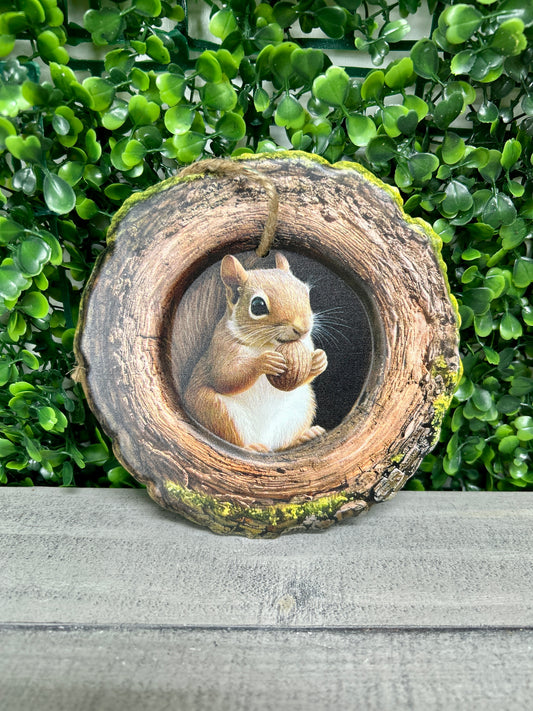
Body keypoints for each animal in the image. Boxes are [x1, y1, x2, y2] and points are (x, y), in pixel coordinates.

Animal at [183, 253, 328, 452]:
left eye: (305, 292)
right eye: (258, 305)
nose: (303, 329)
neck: (267, 344)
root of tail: (264, 440)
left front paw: (319, 360)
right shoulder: (221, 348)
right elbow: (224, 377)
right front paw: (264, 362)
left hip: (300, 408)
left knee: (281, 446)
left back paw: (305, 436)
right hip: (216, 410)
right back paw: (252, 448)